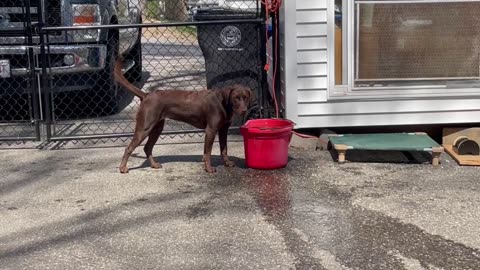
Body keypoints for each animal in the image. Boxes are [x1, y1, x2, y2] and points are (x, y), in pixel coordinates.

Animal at [115, 58, 253, 174]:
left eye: (246, 98)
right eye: (236, 98)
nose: (244, 111)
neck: (223, 102)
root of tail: (146, 95)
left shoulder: (223, 129)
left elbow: (224, 149)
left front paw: (227, 163)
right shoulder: (211, 130)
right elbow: (207, 153)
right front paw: (209, 168)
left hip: (157, 128)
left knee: (147, 148)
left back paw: (154, 165)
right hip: (145, 127)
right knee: (129, 148)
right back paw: (123, 168)